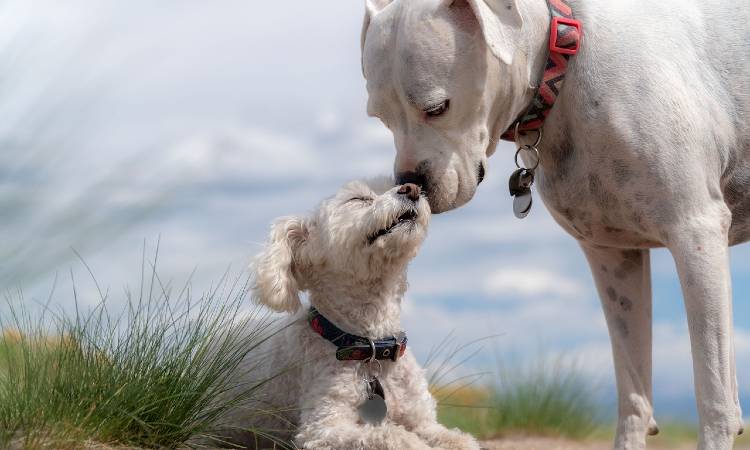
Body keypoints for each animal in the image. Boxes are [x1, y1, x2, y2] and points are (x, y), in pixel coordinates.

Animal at [220, 178, 484, 450]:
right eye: (358, 199)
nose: (411, 188)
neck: (372, 348)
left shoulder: (424, 422)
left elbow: (459, 439)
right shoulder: (323, 428)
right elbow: (390, 434)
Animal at [362, 0, 748, 450]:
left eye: (437, 107)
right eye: (380, 118)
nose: (411, 184)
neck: (562, 64)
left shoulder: (695, 233)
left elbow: (714, 392)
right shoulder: (614, 257)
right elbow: (633, 392)